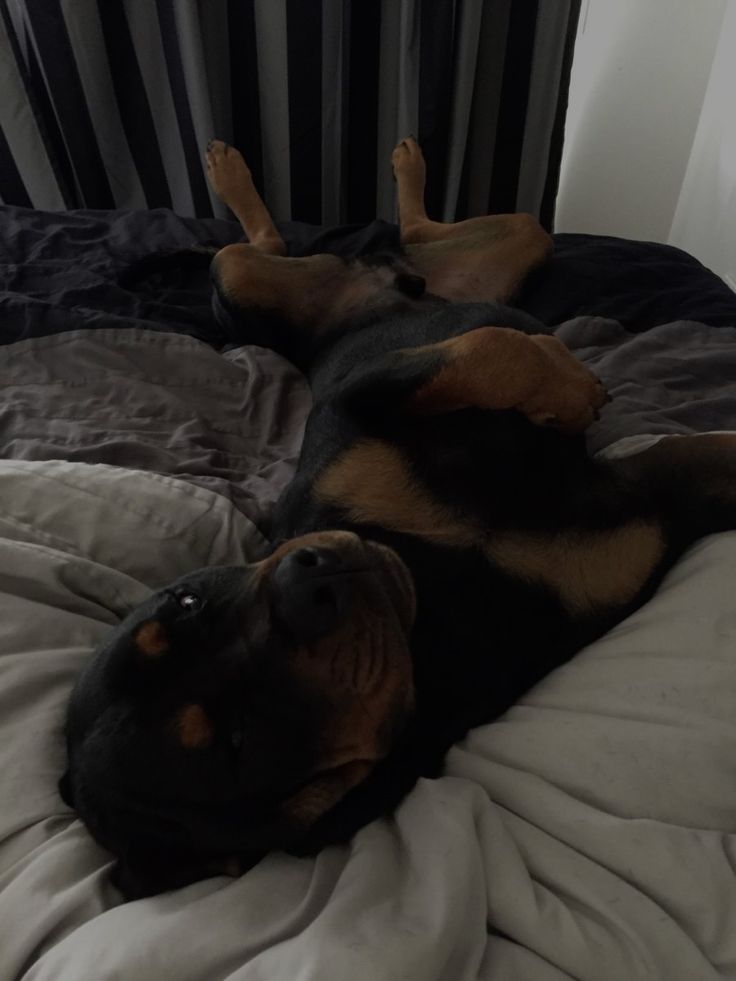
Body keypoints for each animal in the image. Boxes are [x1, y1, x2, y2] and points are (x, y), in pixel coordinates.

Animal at [59, 136, 736, 896]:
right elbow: (495, 357)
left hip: (495, 249)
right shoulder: (656, 503)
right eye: (236, 744)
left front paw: (564, 383)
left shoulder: (367, 394)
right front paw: (565, 388)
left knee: (374, 239)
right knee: (259, 247)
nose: (309, 577)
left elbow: (486, 352)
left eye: (185, 598)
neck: (437, 578)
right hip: (241, 286)